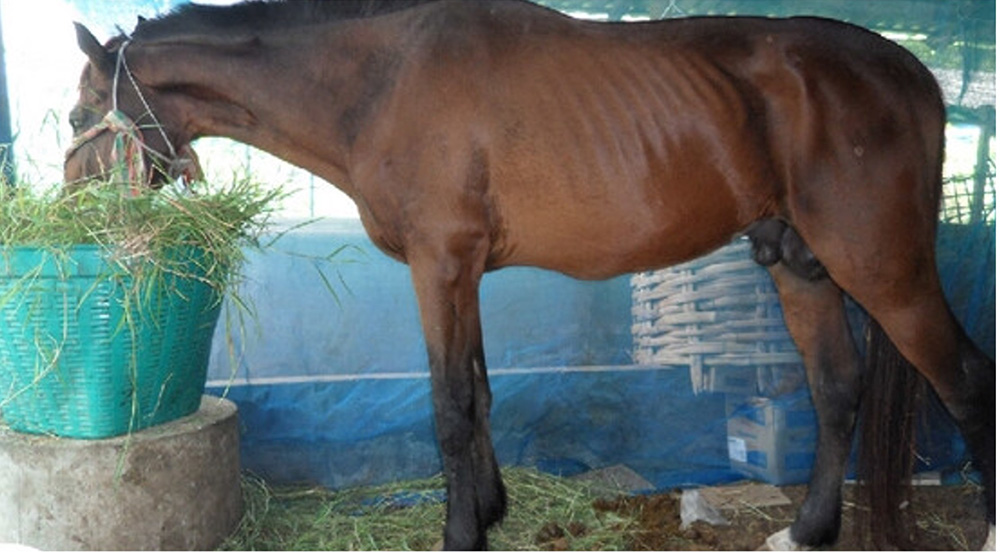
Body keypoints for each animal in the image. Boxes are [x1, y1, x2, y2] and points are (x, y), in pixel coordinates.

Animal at [63, 0, 994, 550]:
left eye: (79, 114)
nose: (68, 208)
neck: (381, 81)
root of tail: (912, 74)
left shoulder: (439, 264)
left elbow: (448, 407)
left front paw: (460, 533)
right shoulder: (463, 271)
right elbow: (478, 393)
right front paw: (489, 510)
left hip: (884, 269)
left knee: (962, 379)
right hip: (801, 264)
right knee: (837, 386)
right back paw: (806, 529)